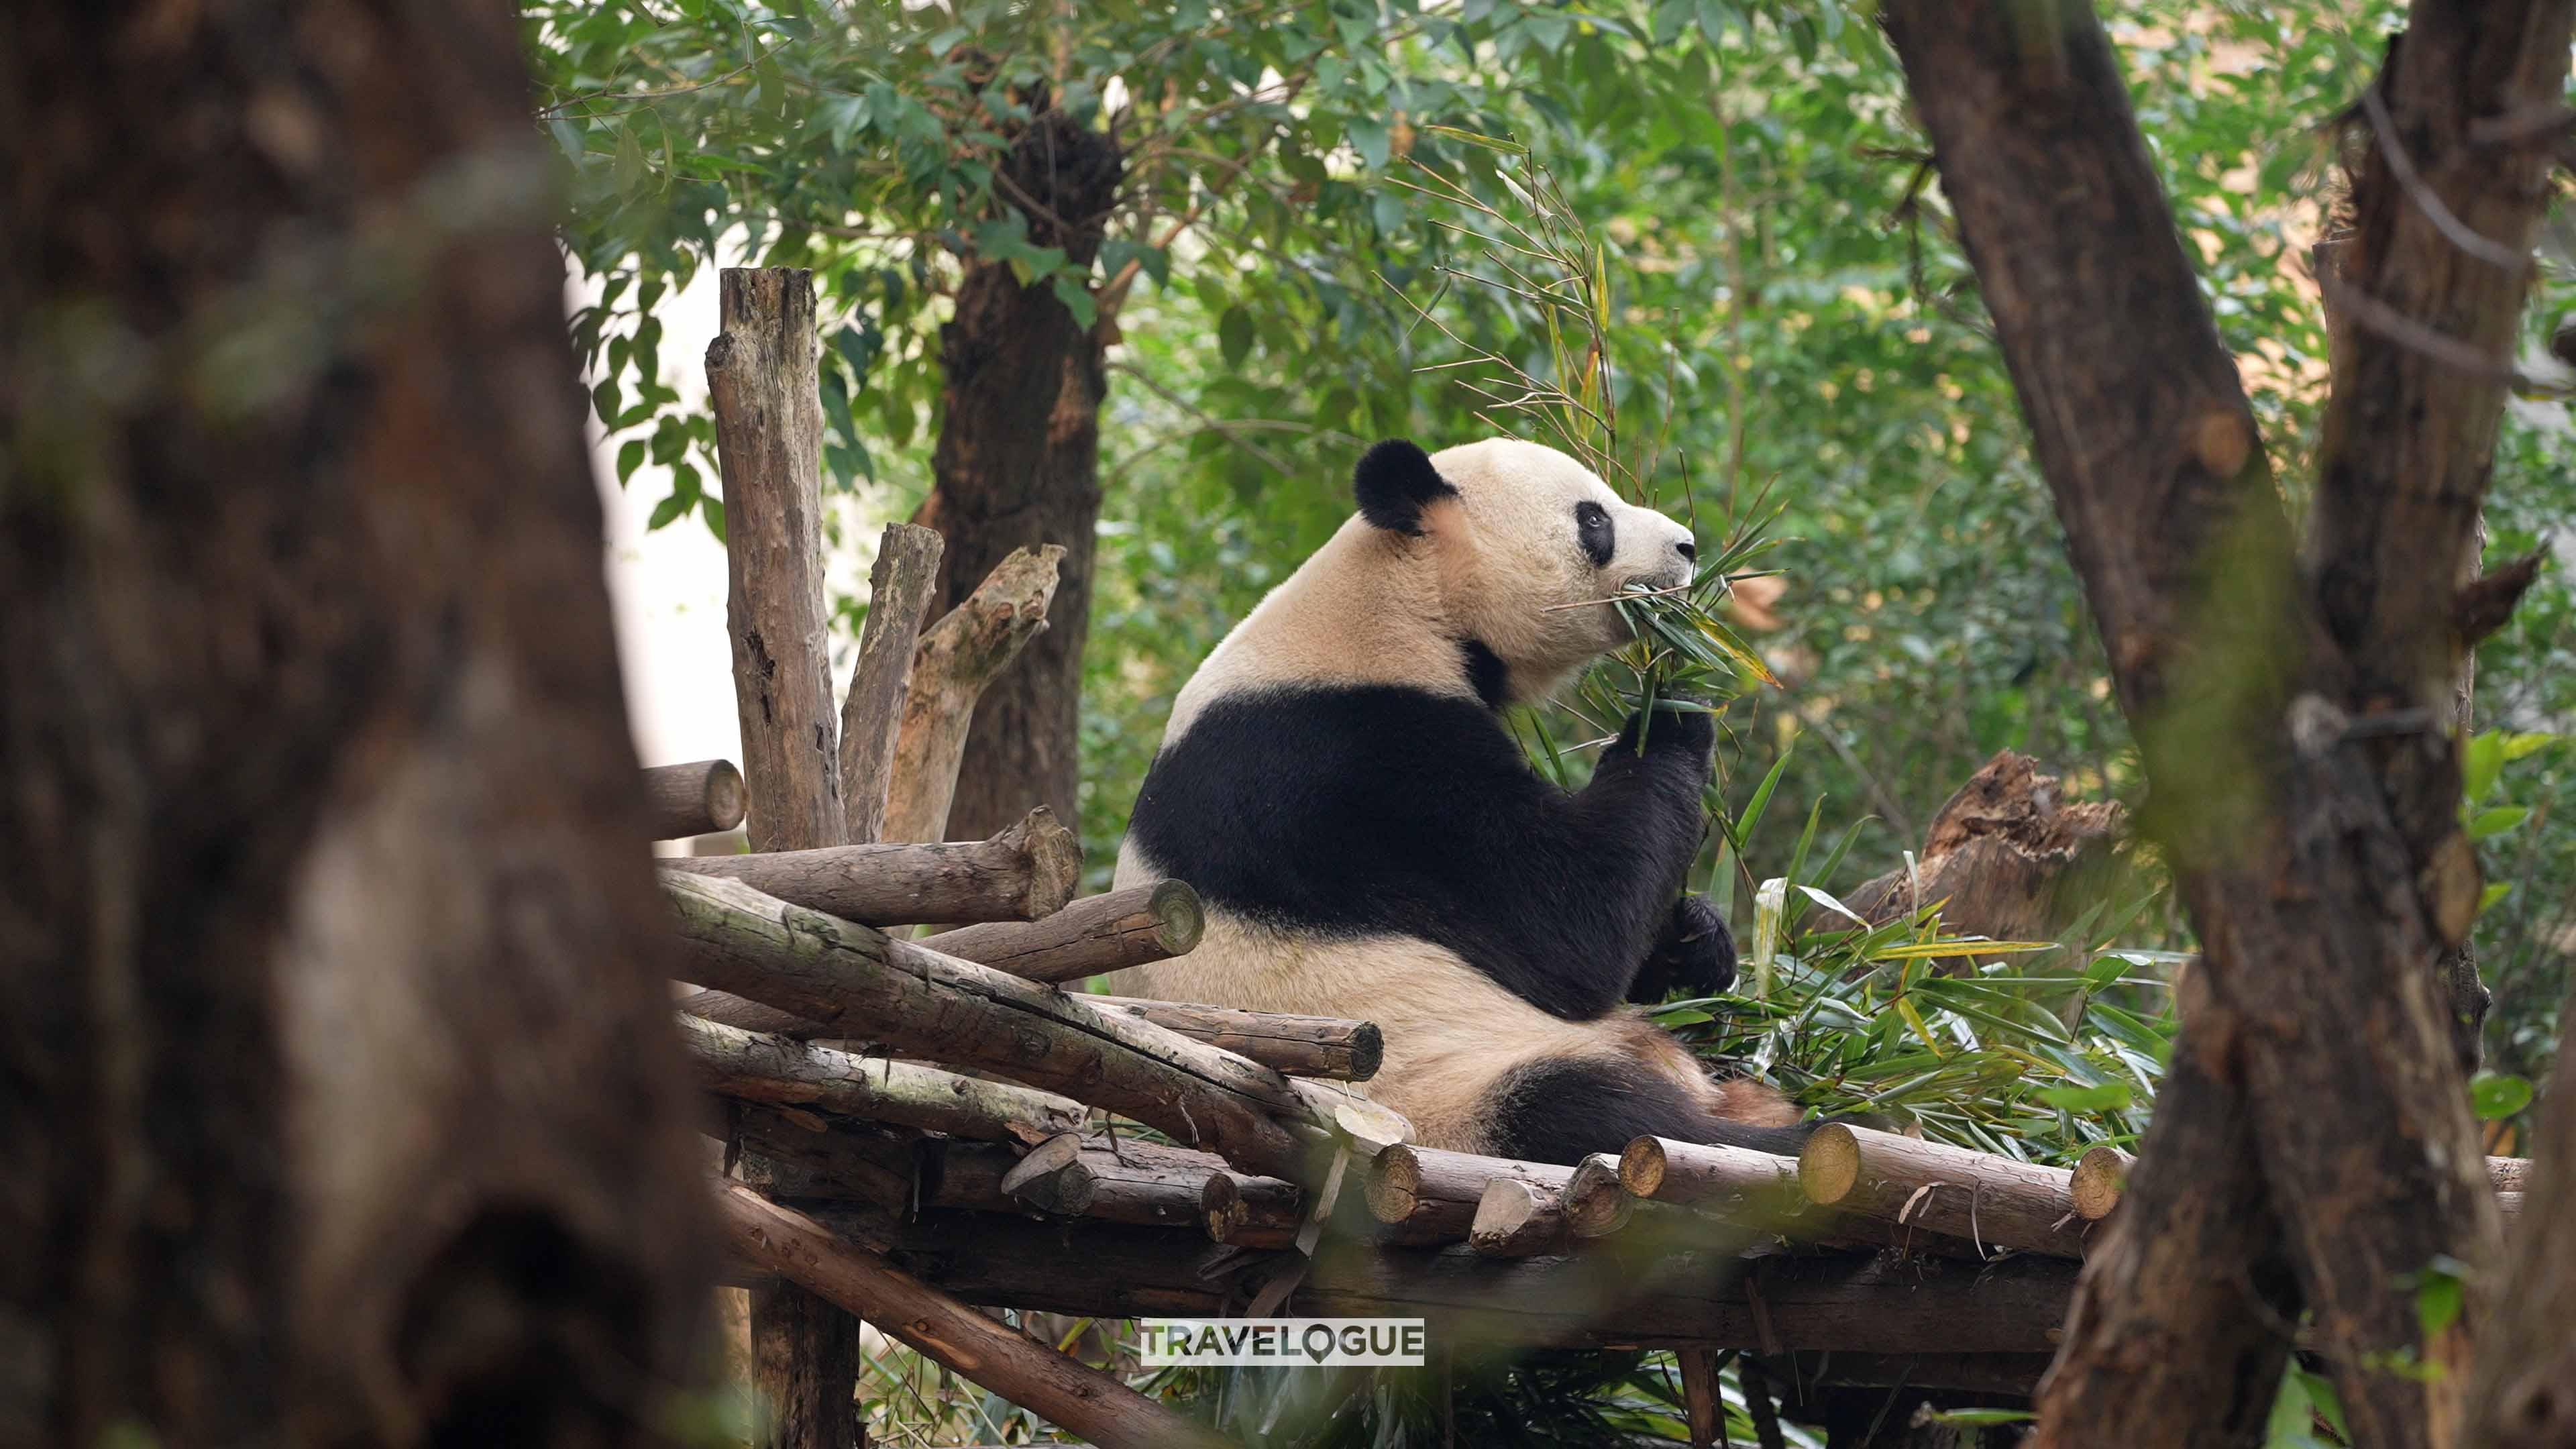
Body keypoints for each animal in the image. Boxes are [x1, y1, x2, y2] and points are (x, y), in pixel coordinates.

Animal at [1112, 433, 1813, 1155]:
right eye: (1594, 520)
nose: (1689, 548)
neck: (1399, 603)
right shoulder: (1359, 767)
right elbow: (1570, 927)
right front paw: (1673, 708)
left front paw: (1696, 939)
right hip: (1446, 1089)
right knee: (1598, 1114)